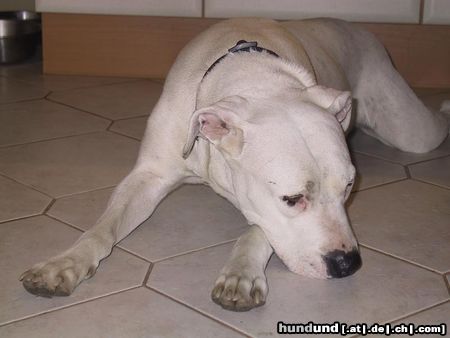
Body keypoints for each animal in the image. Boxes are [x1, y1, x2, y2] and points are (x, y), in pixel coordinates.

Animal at [19, 17, 448, 312]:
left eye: (348, 188)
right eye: (292, 199)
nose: (348, 265)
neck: (255, 80)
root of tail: (355, 26)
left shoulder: (261, 208)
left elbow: (257, 230)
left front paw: (241, 274)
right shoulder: (148, 176)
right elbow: (102, 227)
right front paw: (64, 264)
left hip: (411, 130)